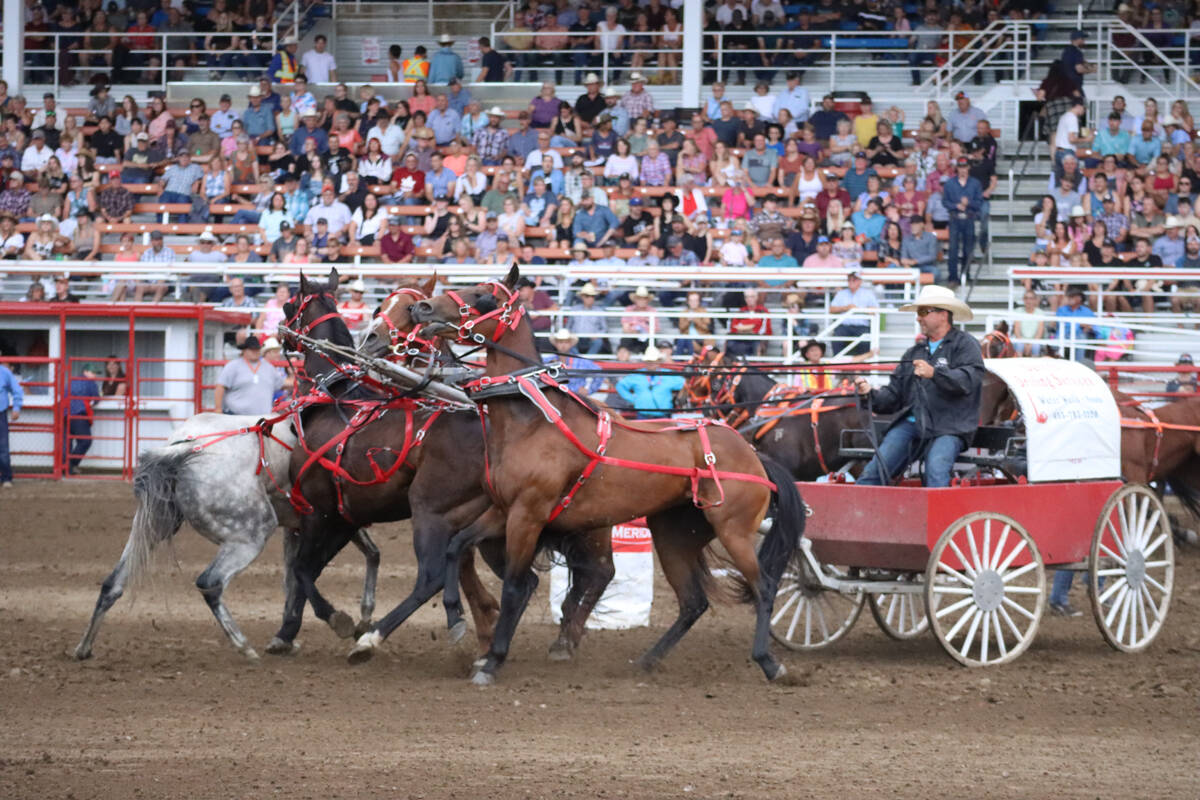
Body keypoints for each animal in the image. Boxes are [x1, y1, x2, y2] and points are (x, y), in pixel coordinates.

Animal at [76, 410, 374, 662]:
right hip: (251, 535)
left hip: (154, 524)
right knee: (211, 582)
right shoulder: (333, 522)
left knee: (112, 584)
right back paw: (243, 645)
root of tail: (181, 448)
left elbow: (299, 574)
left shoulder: (302, 526)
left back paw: (84, 647)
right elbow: (311, 570)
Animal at [408, 266, 811, 686]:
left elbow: (515, 587)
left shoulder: (527, 515)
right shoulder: (503, 511)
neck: (533, 420)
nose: (422, 308)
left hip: (734, 531)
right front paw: (454, 616)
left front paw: (492, 661)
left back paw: (770, 663)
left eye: (483, 295)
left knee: (764, 587)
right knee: (693, 601)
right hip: (674, 535)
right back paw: (649, 660)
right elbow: (456, 546)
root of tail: (752, 455)